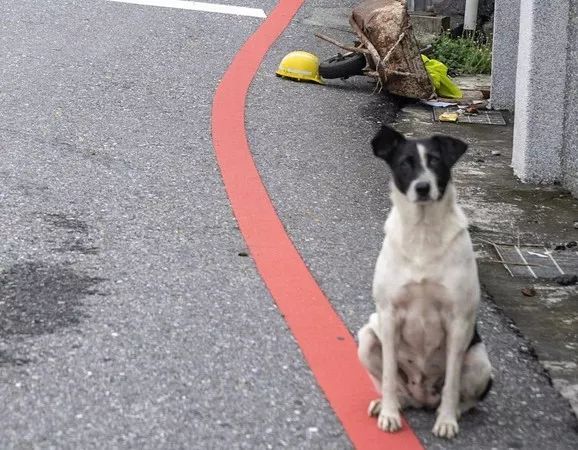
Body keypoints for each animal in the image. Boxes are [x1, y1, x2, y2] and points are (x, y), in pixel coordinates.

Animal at [360, 125, 490, 440]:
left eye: (435, 161)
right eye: (405, 163)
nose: (422, 187)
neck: (422, 232)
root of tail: (422, 399)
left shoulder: (458, 321)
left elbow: (452, 382)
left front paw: (446, 420)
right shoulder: (388, 315)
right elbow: (389, 373)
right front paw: (390, 414)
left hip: (480, 360)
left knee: (465, 398)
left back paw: (451, 411)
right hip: (367, 336)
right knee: (395, 387)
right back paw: (388, 403)